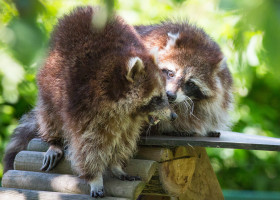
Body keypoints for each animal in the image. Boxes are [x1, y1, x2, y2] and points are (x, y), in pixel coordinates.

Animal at [3, 7, 176, 198]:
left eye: (164, 95)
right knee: (50, 114)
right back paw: (54, 140)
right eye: (157, 98)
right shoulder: (84, 106)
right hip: (49, 81)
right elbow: (87, 145)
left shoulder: (129, 119)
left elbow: (125, 138)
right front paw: (95, 177)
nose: (173, 116)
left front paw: (116, 165)